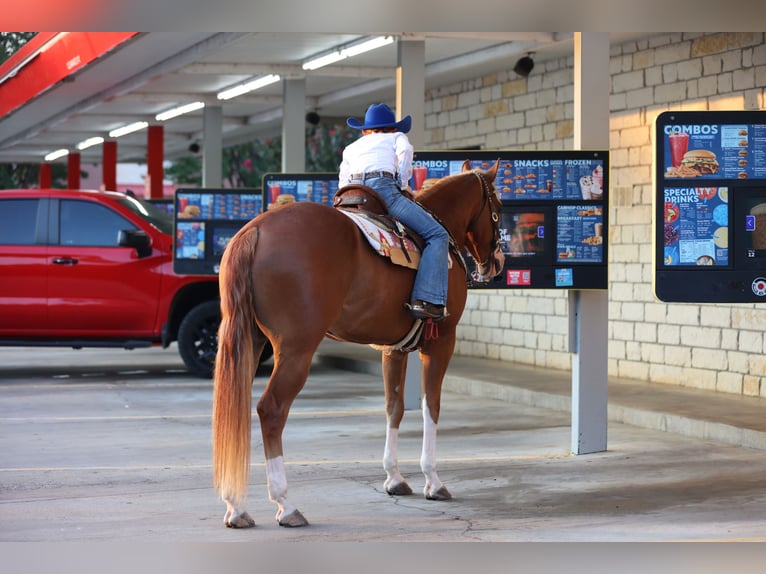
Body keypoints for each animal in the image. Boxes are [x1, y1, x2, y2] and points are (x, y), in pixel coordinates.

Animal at [212, 159, 504, 528]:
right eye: (498, 208)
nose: (497, 262)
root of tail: (257, 230)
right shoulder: (441, 343)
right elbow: (431, 407)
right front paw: (433, 481)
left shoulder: (393, 349)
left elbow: (394, 407)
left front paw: (394, 478)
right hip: (295, 349)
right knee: (271, 409)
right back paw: (285, 504)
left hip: (248, 341)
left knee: (235, 408)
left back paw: (236, 507)